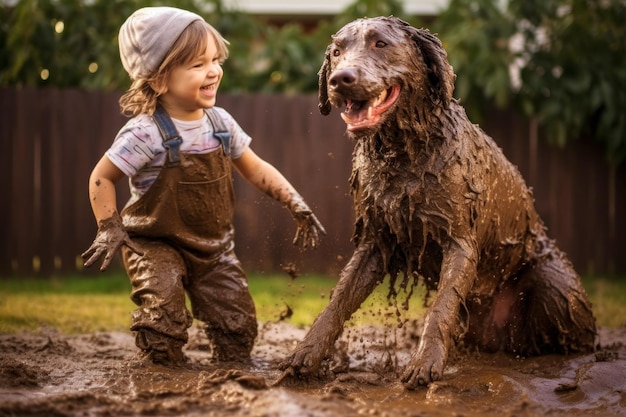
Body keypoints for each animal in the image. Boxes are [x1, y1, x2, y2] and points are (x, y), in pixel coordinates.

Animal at [280, 15, 596, 386]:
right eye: (336, 51)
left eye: (380, 43)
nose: (340, 79)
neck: (404, 154)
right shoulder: (375, 241)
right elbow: (339, 299)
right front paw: (307, 352)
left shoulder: (459, 241)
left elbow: (442, 304)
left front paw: (424, 362)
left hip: (556, 289)